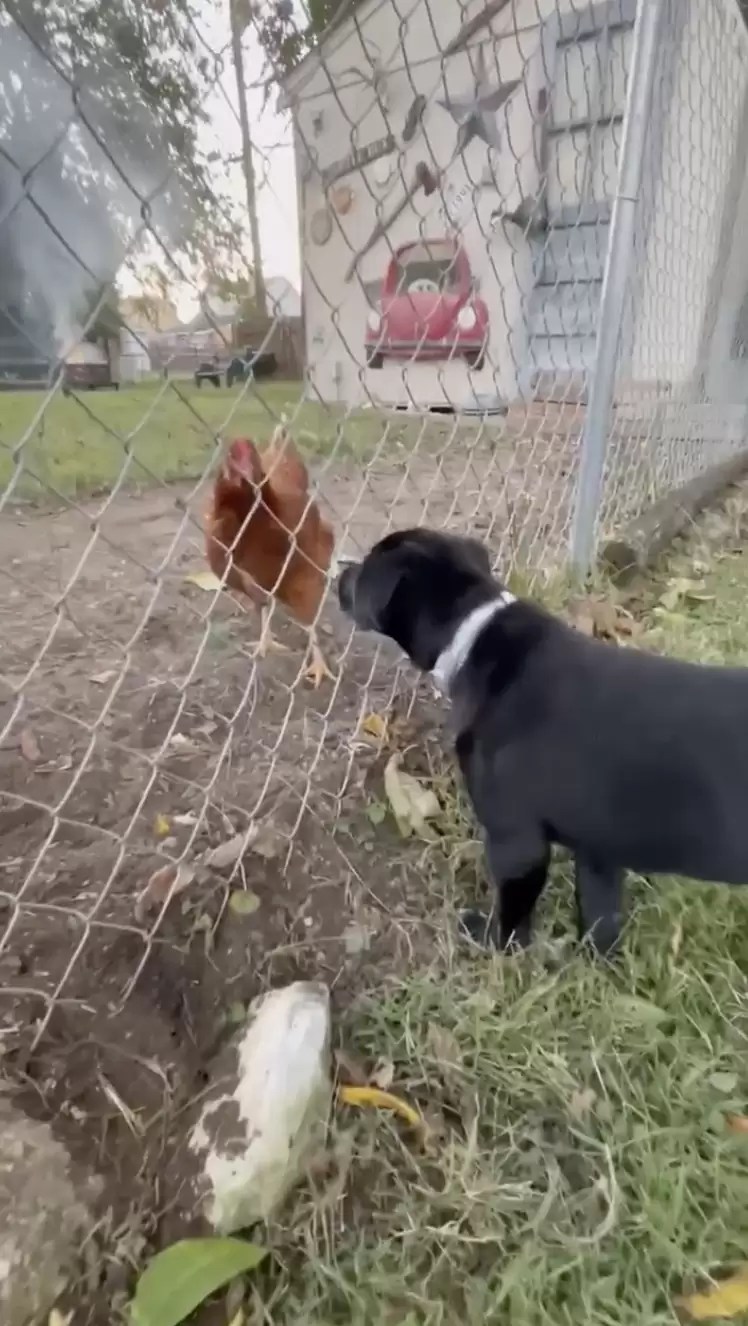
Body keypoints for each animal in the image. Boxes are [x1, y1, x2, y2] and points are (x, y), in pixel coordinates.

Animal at [339, 525, 748, 954]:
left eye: (365, 568)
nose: (339, 574)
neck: (473, 633)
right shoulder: (597, 847)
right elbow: (600, 918)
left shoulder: (517, 842)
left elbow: (512, 917)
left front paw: (494, 943)